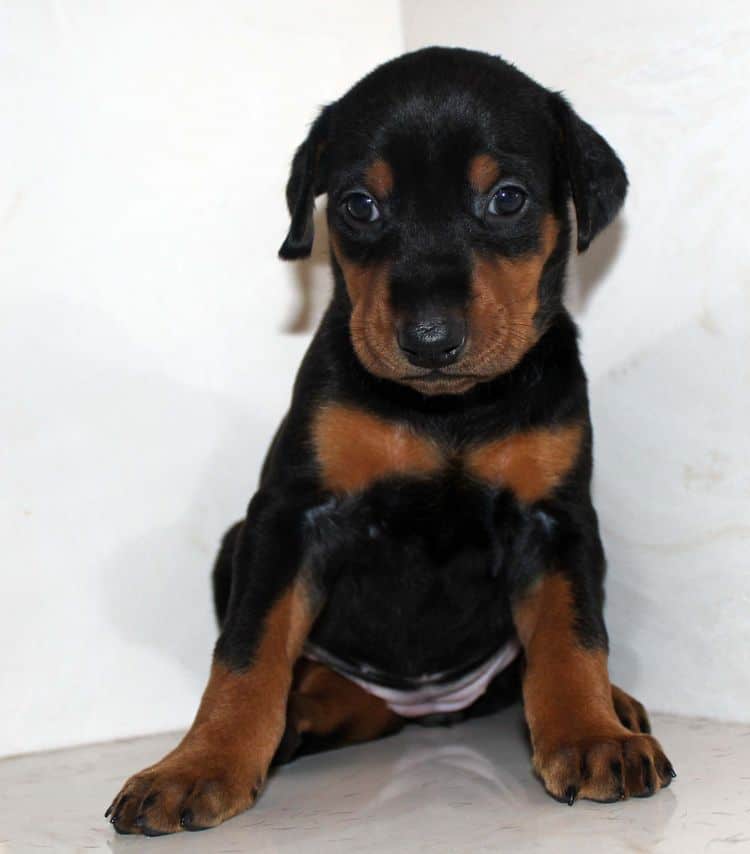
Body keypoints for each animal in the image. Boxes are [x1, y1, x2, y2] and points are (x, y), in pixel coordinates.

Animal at [108, 45, 680, 836]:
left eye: (507, 198)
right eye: (359, 205)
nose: (430, 340)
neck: (446, 410)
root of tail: (426, 711)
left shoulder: (556, 519)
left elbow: (573, 636)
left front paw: (592, 736)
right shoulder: (292, 513)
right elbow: (248, 648)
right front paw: (197, 764)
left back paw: (617, 705)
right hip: (241, 552)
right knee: (328, 690)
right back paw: (294, 720)